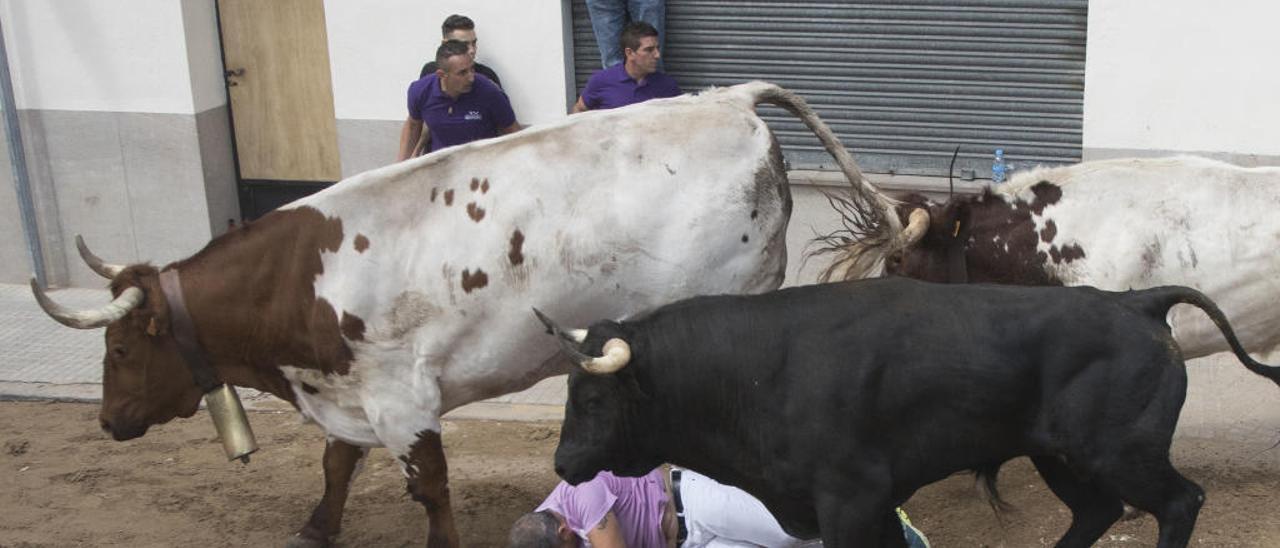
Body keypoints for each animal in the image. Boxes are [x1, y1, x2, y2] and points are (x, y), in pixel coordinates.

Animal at [27, 81, 890, 548]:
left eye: (121, 353)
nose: (107, 422)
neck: (297, 282)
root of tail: (729, 99)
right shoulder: (352, 392)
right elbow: (337, 464)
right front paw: (317, 524)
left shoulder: (402, 398)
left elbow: (430, 487)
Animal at [537, 277, 1280, 548]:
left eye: (594, 398)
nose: (564, 463)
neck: (760, 368)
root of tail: (1135, 300)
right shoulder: (861, 508)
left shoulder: (851, 501)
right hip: (1061, 457)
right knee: (1097, 512)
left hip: (1121, 453)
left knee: (1180, 502)